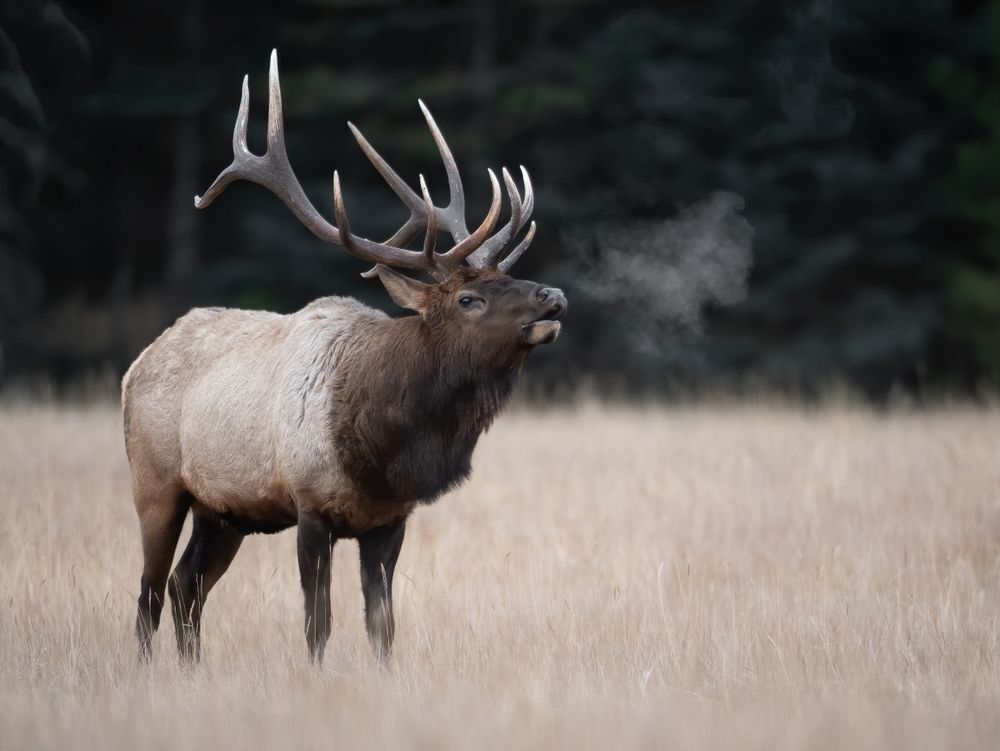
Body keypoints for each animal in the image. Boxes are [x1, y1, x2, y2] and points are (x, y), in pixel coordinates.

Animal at [122, 51, 566, 666]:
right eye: (468, 298)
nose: (554, 296)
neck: (382, 447)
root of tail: (137, 363)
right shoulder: (310, 506)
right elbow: (319, 623)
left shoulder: (390, 521)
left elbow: (382, 624)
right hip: (156, 482)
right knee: (148, 591)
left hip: (225, 510)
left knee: (185, 584)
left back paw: (193, 670)